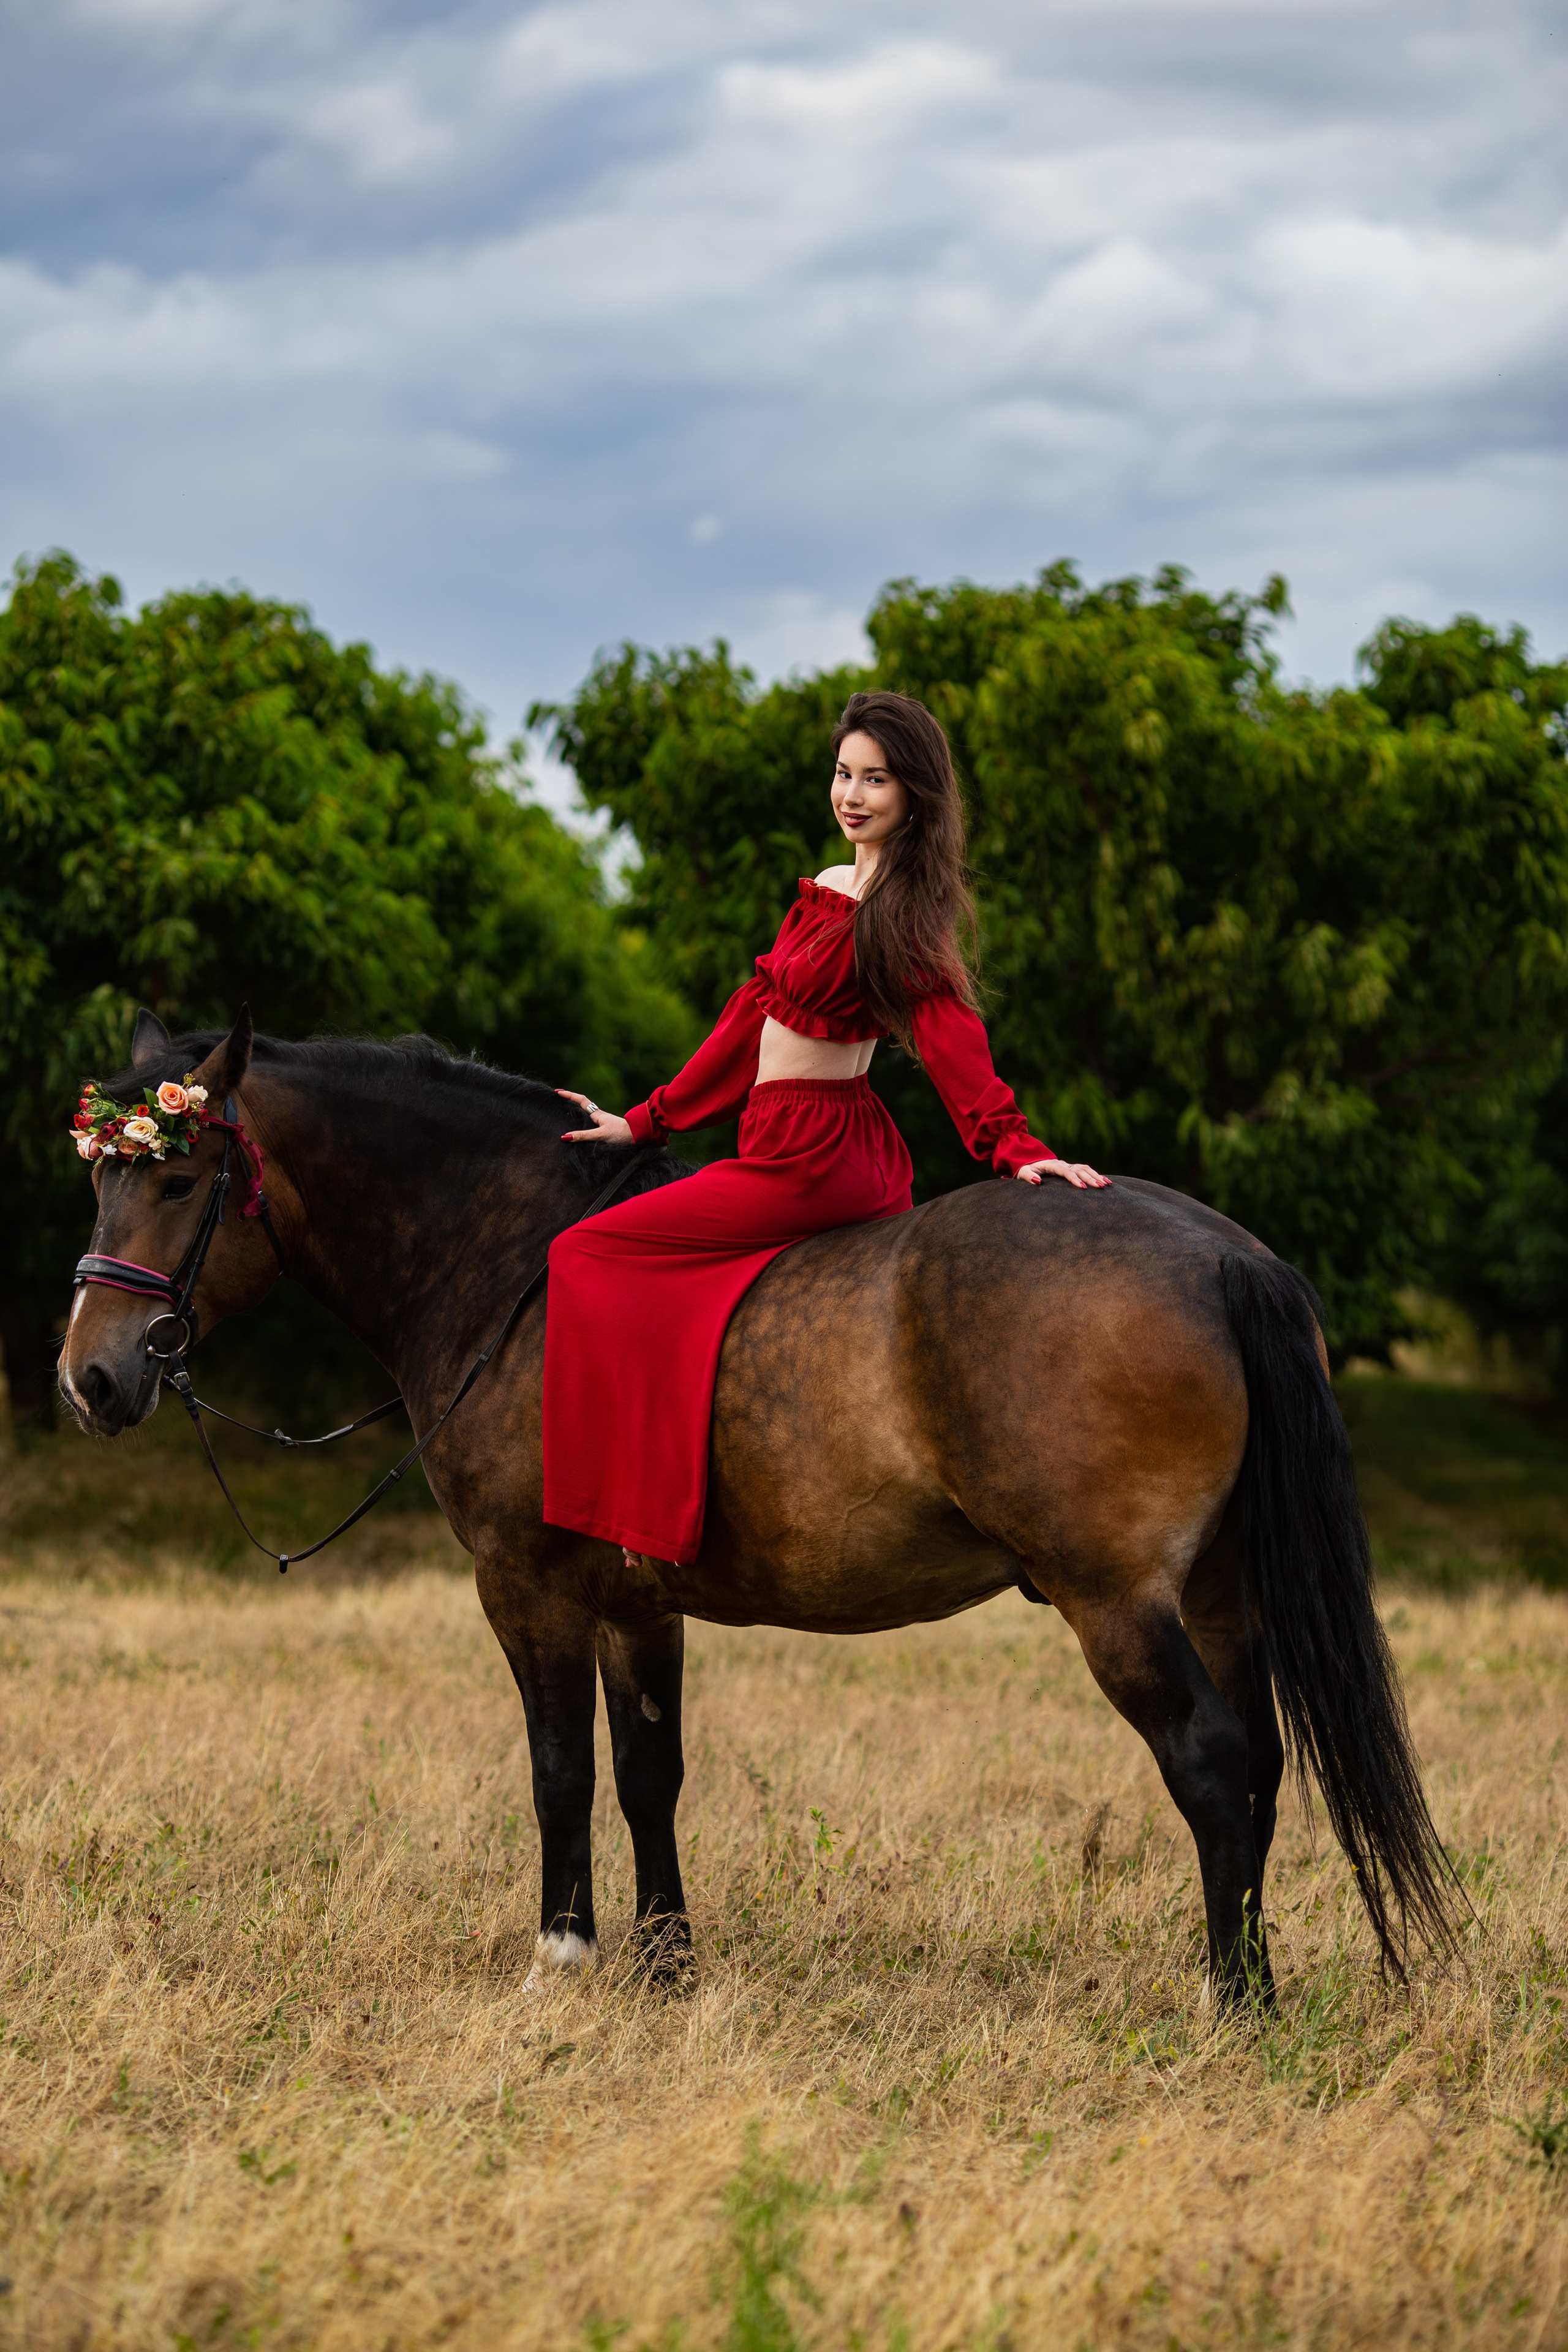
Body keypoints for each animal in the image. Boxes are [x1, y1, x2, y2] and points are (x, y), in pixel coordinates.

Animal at [59, 1010, 1458, 2002]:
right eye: (100, 1185)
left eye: (179, 1181)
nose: (92, 1376)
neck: (514, 1266)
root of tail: (1220, 1255)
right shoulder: (637, 1605)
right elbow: (648, 1774)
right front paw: (665, 1962)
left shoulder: (525, 1586)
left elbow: (559, 1771)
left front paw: (562, 1957)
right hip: (1218, 1592)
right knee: (1262, 1764)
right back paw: (1256, 1979)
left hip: (1117, 1604)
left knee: (1211, 1765)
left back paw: (1233, 2000)